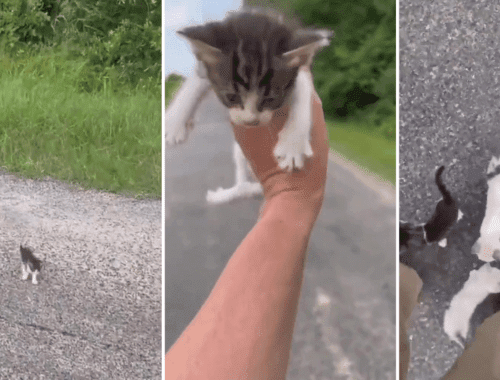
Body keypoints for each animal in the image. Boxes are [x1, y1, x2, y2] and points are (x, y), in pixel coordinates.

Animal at [164, 8, 334, 205]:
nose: (251, 121)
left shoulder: (301, 73)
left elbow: (303, 95)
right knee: (242, 182)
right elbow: (194, 84)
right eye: (231, 97)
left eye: (270, 99)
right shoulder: (204, 68)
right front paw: (174, 122)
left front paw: (293, 145)